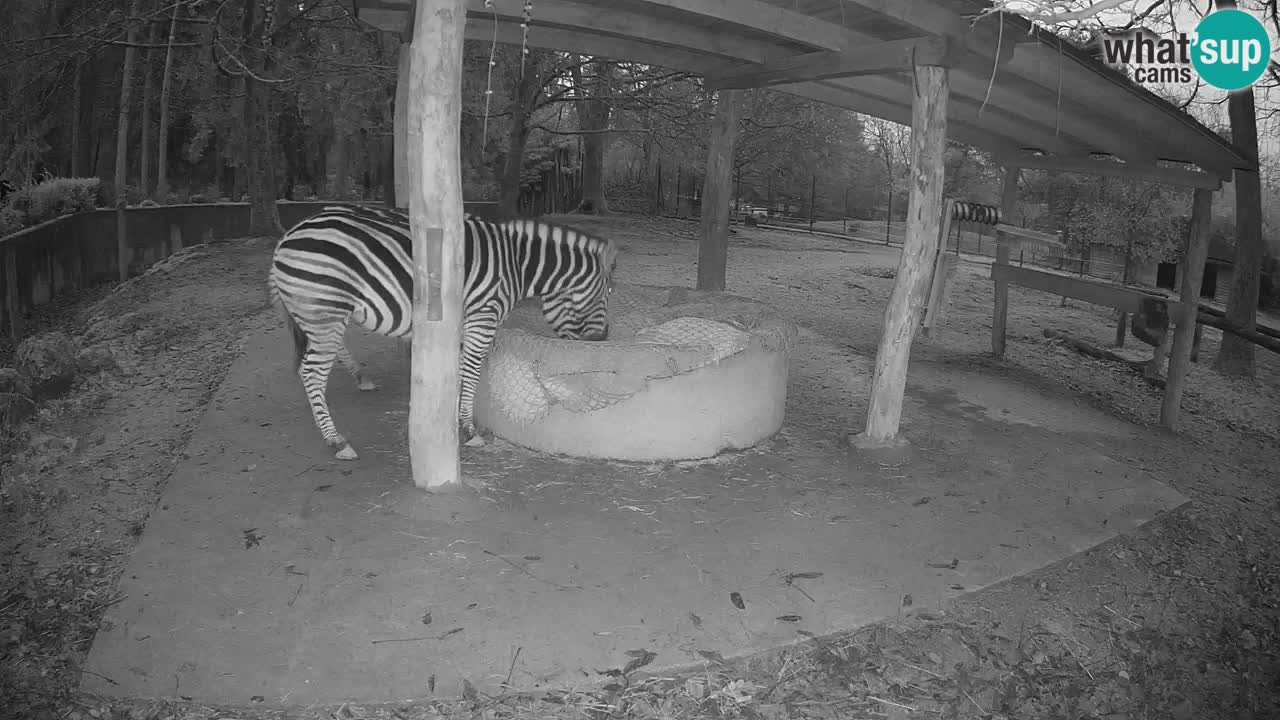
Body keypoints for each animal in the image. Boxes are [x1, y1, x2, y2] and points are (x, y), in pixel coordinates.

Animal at [268, 204, 618, 460]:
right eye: (609, 293)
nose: (602, 340)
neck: (515, 265)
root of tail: (287, 237)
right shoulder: (482, 318)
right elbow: (472, 372)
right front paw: (468, 430)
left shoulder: (462, 325)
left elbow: (460, 371)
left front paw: (453, 417)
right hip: (326, 311)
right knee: (311, 373)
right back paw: (337, 441)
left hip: (322, 315)